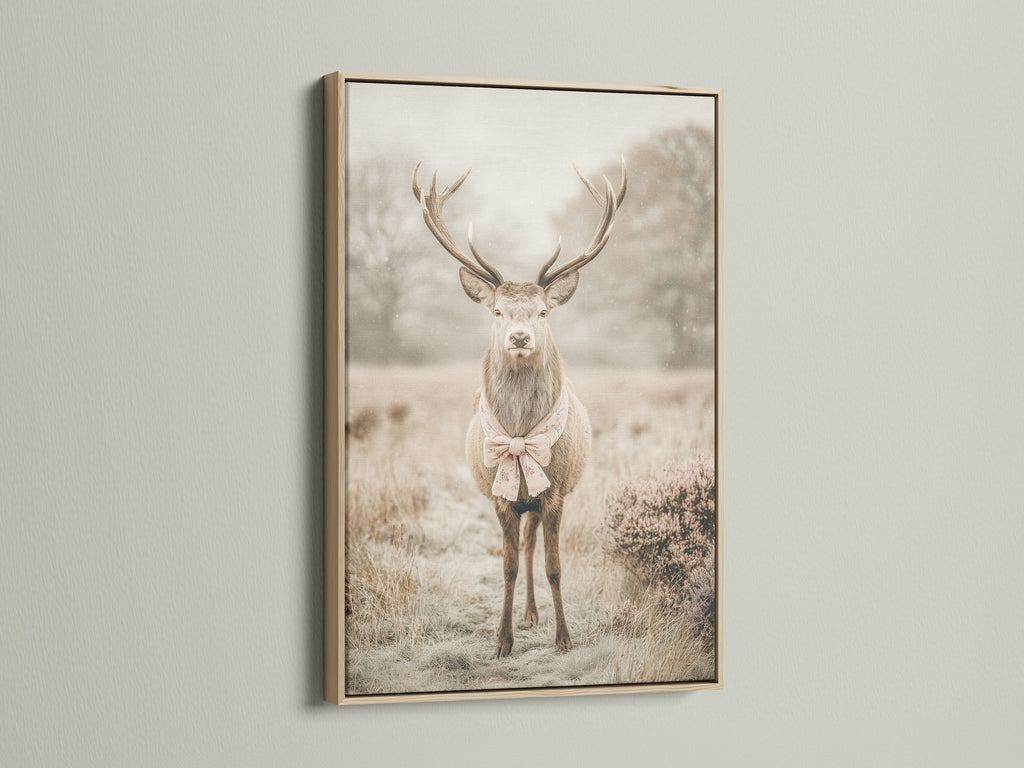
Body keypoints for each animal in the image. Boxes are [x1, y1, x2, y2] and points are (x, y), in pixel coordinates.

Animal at [412, 160, 626, 657]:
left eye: (543, 312)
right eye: (496, 311)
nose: (520, 336)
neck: (519, 434)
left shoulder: (556, 492)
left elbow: (554, 567)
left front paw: (563, 637)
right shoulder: (499, 496)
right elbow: (506, 566)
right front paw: (501, 640)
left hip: (539, 497)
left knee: (532, 549)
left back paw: (534, 614)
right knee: (523, 551)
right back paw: (525, 615)